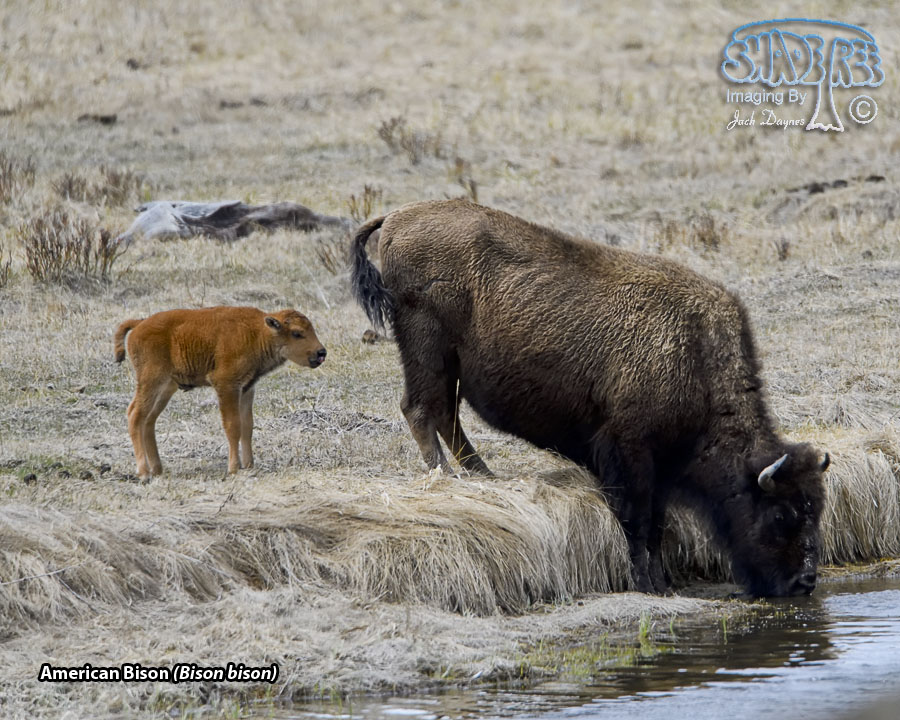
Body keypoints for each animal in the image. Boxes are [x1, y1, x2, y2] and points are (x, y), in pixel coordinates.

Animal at [351, 199, 829, 597]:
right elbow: (638, 522)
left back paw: (482, 474)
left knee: (445, 415)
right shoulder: (630, 453)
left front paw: (662, 581)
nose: (806, 581)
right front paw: (647, 584)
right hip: (428, 351)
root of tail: (396, 218)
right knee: (420, 410)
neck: (695, 356)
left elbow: (655, 525)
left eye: (817, 510)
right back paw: (448, 476)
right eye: (781, 515)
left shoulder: (659, 467)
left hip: (448, 367)